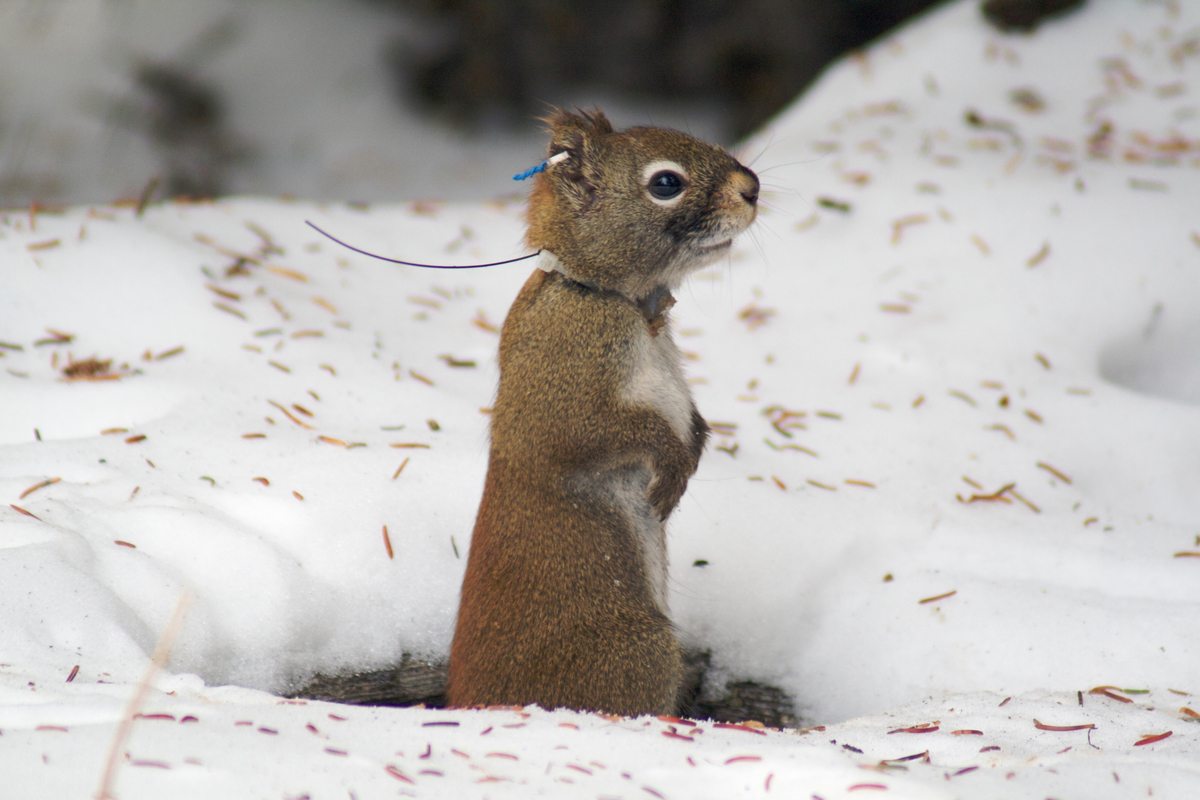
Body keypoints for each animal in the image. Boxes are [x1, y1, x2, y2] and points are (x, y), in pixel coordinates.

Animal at [445, 108, 759, 716]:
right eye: (666, 183)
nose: (751, 188)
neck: (607, 296)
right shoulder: (560, 387)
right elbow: (602, 435)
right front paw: (673, 462)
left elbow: (694, 421)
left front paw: (695, 449)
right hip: (635, 652)